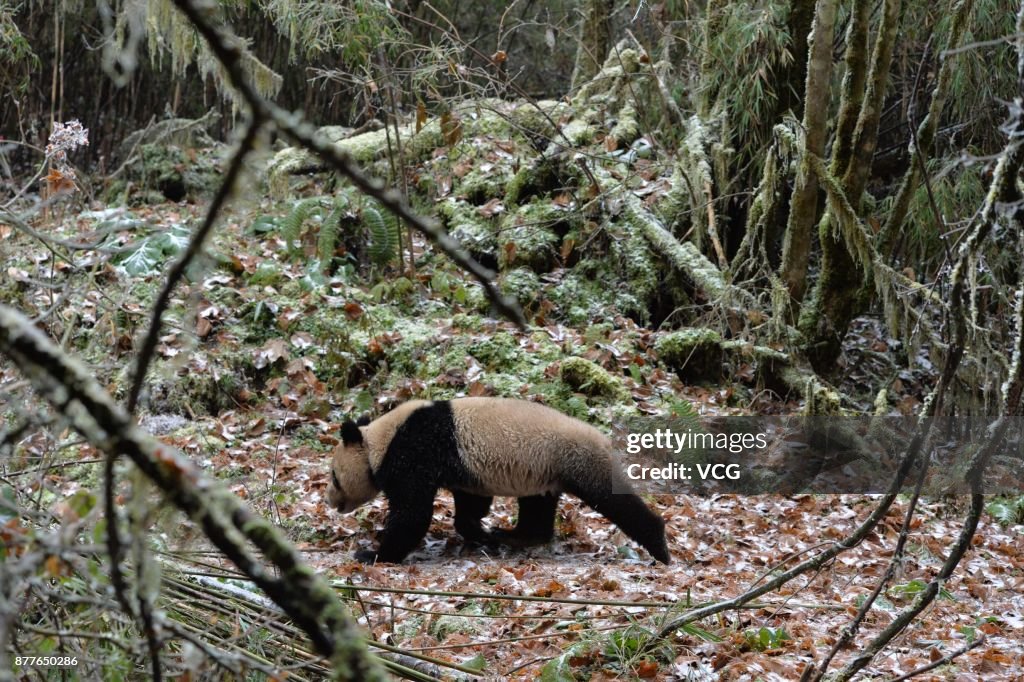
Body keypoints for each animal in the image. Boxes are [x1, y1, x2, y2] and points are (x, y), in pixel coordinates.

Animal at [326, 397, 670, 564]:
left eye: (334, 476)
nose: (330, 501)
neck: (381, 440)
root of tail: (602, 438)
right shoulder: (462, 466)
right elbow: (471, 503)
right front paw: (481, 534)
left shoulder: (416, 451)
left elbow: (412, 513)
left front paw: (373, 555)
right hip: (544, 470)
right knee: (537, 507)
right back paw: (515, 536)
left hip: (576, 458)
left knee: (615, 501)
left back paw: (659, 546)